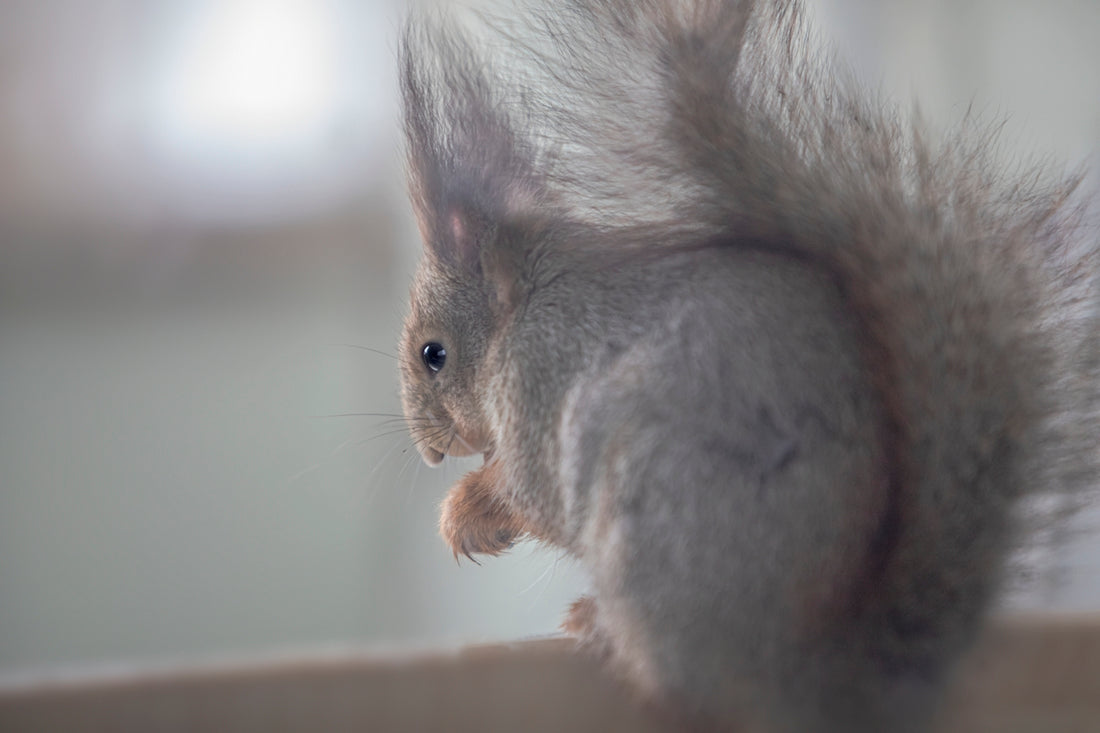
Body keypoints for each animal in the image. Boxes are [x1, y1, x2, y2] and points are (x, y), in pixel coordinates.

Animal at [396, 1, 1099, 731]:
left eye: (433, 354)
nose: (428, 449)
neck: (525, 306)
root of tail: (812, 681)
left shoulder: (538, 379)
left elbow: (531, 490)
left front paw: (467, 510)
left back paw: (601, 628)